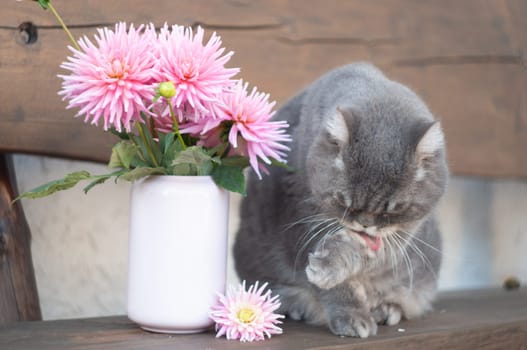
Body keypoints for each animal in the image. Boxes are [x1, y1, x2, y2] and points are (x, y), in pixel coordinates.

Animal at [235, 62, 450, 336]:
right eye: (345, 202)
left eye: (393, 211)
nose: (366, 224)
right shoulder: (301, 220)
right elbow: (336, 285)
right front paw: (350, 312)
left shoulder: (399, 238)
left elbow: (366, 252)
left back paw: (386, 309)